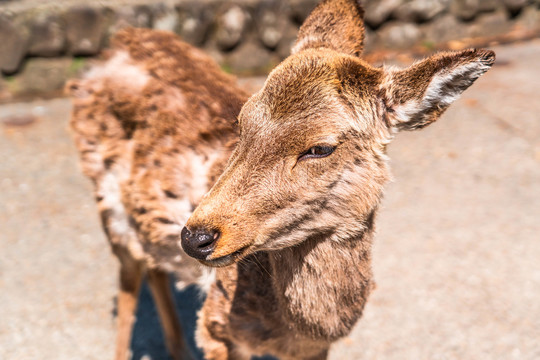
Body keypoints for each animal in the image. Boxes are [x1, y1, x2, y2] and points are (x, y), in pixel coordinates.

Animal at [67, 0, 494, 358]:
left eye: (320, 148)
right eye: (241, 123)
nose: (196, 237)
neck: (294, 331)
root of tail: (118, 42)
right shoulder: (216, 328)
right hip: (106, 205)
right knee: (129, 280)